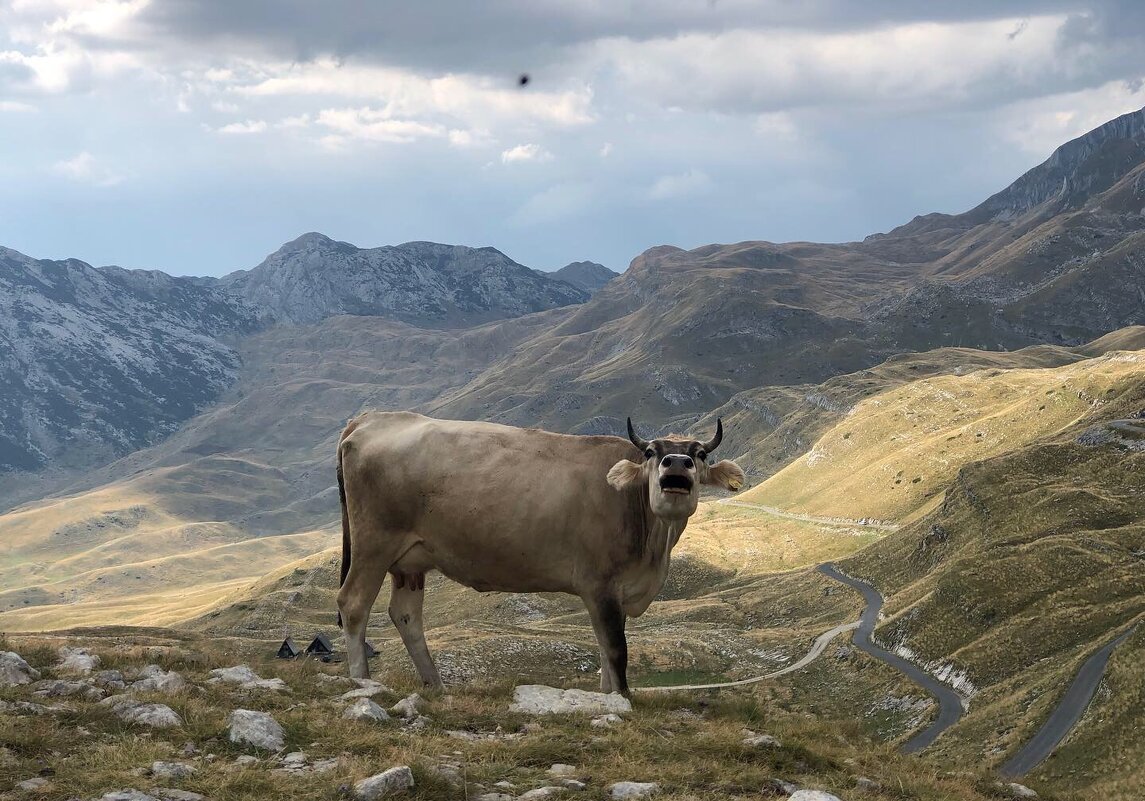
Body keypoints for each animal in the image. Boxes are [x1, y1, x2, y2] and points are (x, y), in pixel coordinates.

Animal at [334, 411, 741, 695]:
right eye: (653, 453)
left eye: (699, 454)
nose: (676, 465)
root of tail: (370, 419)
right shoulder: (599, 584)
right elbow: (615, 647)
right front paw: (623, 696)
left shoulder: (614, 592)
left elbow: (604, 645)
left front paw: (608, 693)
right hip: (374, 543)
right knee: (353, 603)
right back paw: (362, 680)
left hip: (410, 561)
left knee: (406, 615)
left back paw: (435, 684)